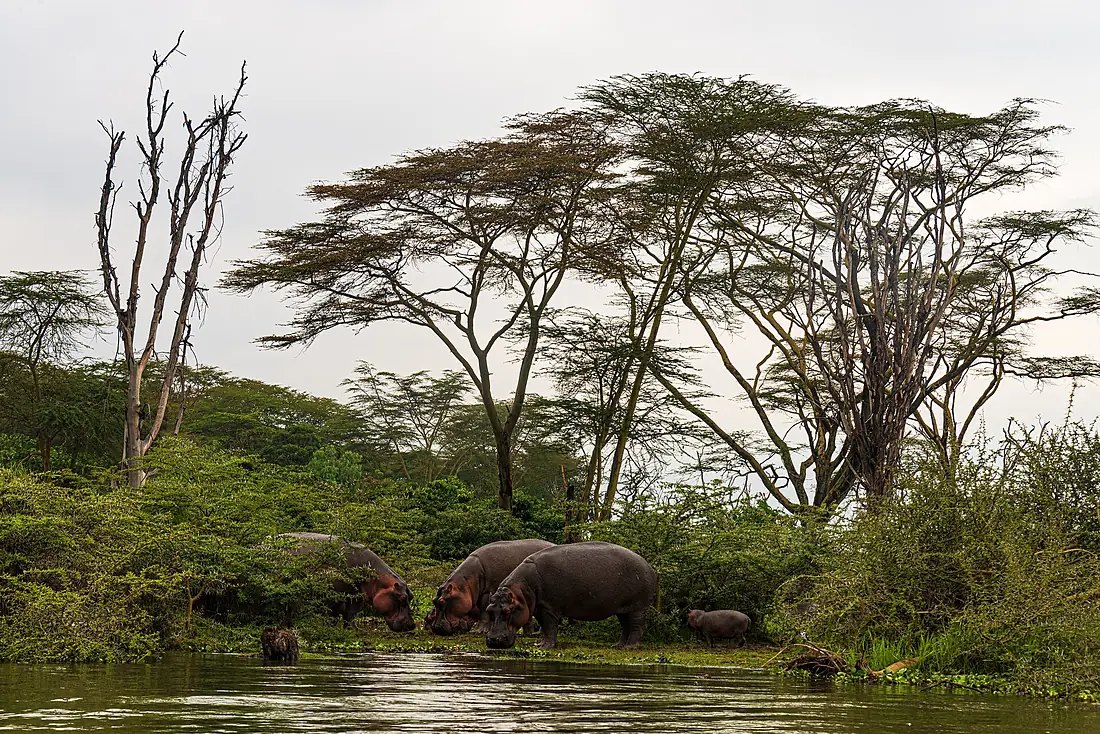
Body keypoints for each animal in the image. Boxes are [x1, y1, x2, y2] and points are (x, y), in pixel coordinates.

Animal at [274, 532, 415, 632]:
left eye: (411, 596)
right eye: (402, 597)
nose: (412, 625)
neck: (376, 577)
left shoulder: (357, 596)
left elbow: (351, 614)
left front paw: (354, 629)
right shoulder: (333, 593)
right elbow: (332, 612)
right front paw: (330, 627)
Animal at [484, 541, 657, 649]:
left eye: (508, 610)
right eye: (489, 610)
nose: (493, 640)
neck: (521, 591)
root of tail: (648, 566)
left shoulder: (548, 608)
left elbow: (550, 627)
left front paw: (545, 647)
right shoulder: (539, 608)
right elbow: (546, 628)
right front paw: (539, 645)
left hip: (637, 607)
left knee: (636, 626)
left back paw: (630, 647)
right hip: (622, 609)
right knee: (625, 626)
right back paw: (618, 646)